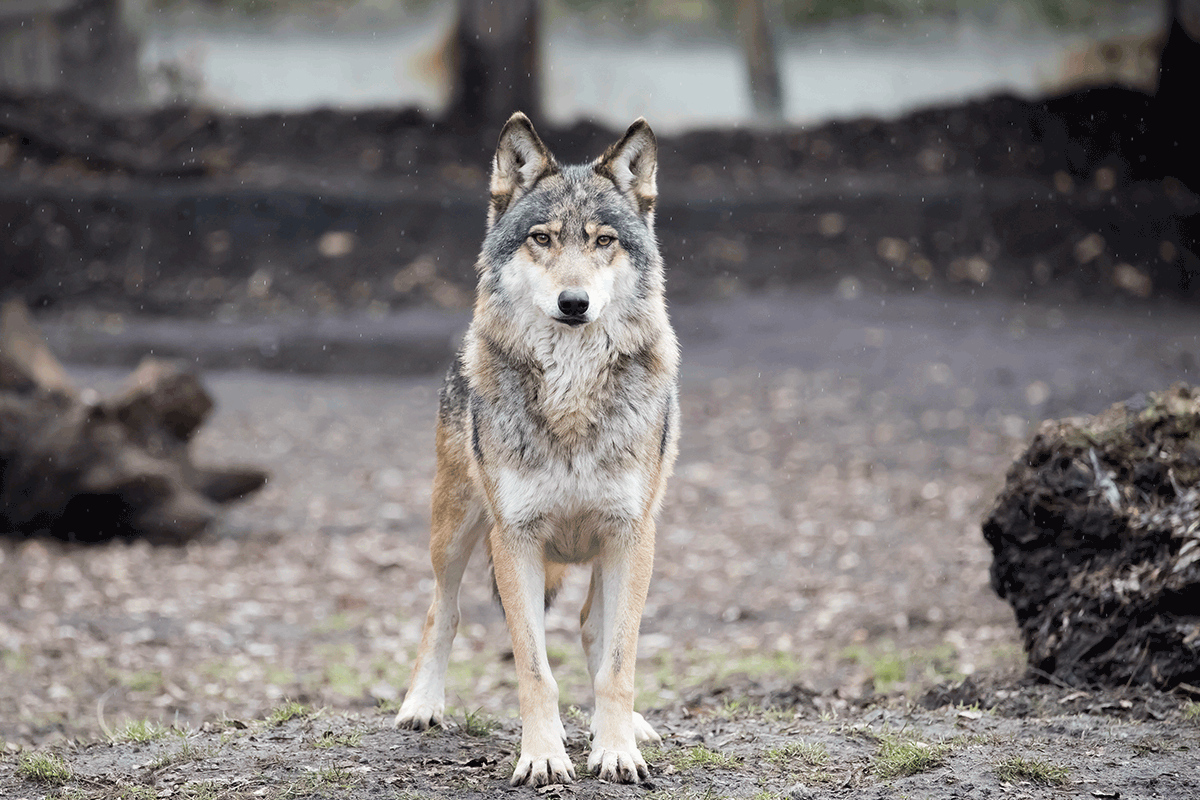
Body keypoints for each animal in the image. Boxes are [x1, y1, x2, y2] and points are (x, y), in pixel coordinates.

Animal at [393, 112, 676, 786]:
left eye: (604, 241)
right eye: (541, 239)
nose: (574, 303)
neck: (570, 394)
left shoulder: (631, 533)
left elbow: (619, 661)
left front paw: (617, 750)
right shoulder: (514, 537)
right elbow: (533, 668)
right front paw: (543, 756)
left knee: (593, 630)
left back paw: (632, 728)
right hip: (455, 531)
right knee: (442, 610)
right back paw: (421, 706)